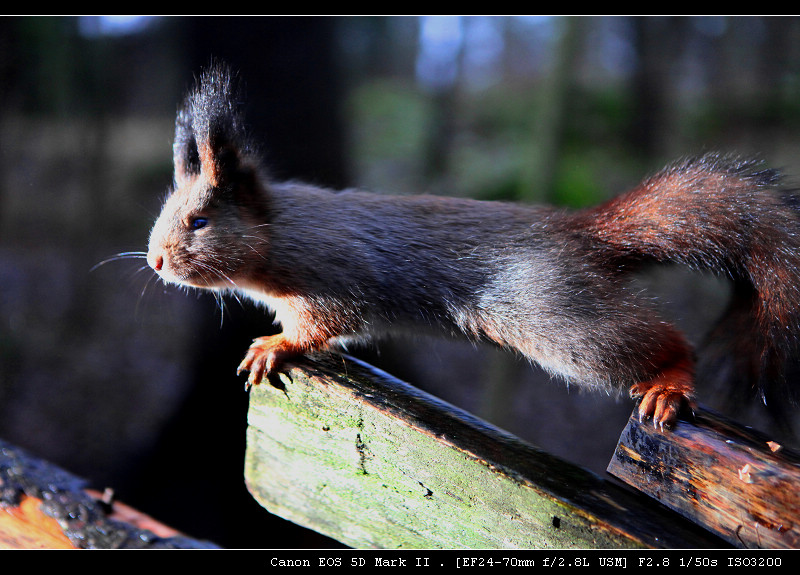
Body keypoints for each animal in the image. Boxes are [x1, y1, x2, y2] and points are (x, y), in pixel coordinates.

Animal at [147, 65, 800, 430]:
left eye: (200, 221)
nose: (155, 262)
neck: (277, 233)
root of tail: (578, 232)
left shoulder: (333, 271)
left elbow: (327, 322)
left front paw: (275, 345)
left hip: (551, 312)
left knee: (656, 342)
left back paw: (670, 382)